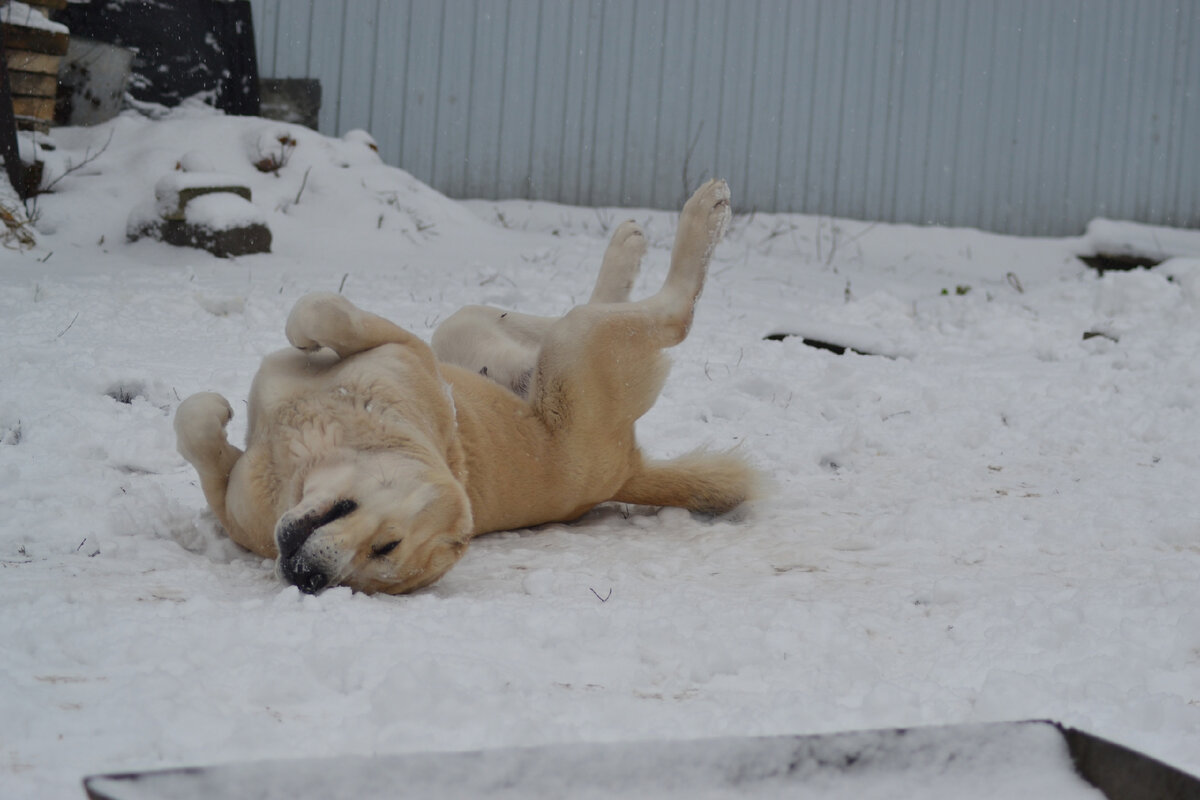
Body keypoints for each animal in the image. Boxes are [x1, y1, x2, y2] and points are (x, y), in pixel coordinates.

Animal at [174, 181, 753, 594]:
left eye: (382, 553)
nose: (311, 579)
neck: (319, 444)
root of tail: (626, 471)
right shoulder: (409, 349)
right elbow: (310, 314)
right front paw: (222, 406)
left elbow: (315, 310)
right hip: (472, 331)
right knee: (558, 323)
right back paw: (630, 244)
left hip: (577, 347)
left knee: (674, 313)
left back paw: (706, 211)